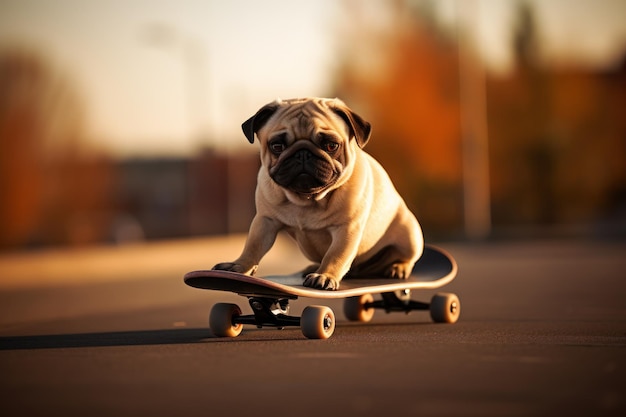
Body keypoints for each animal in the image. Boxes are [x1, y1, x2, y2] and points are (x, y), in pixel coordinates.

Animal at [212, 97, 422, 290]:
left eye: (331, 145)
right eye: (277, 146)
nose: (303, 153)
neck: (306, 199)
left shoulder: (346, 229)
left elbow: (335, 255)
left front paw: (325, 276)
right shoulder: (265, 221)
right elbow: (253, 246)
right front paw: (239, 266)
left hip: (410, 233)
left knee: (407, 256)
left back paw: (398, 267)